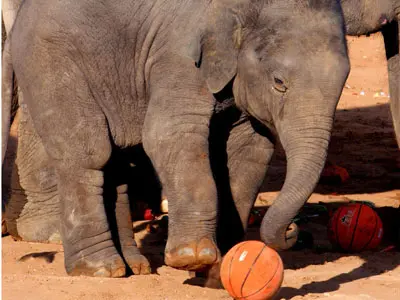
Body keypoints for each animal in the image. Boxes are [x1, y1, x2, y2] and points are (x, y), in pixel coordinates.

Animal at [2, 0, 350, 278]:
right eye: (279, 82)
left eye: (343, 82)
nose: (294, 230)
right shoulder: (177, 55)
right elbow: (167, 134)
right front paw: (194, 258)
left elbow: (249, 151)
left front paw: (221, 264)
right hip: (50, 60)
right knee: (90, 152)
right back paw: (99, 269)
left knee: (117, 160)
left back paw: (133, 266)